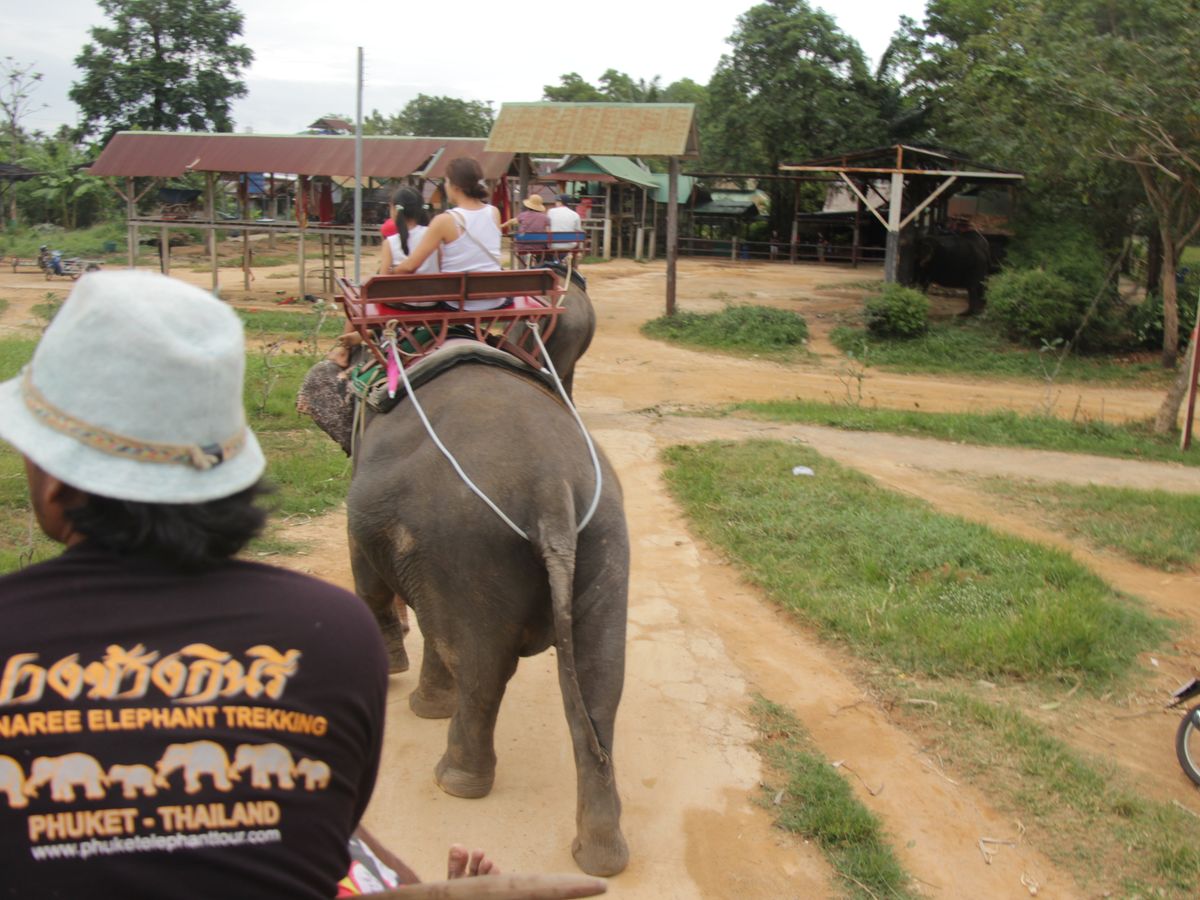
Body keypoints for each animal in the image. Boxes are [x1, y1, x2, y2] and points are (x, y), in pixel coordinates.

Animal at [297, 342, 630, 877]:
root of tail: (552, 488)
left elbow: (368, 580)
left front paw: (399, 678)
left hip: (467, 542)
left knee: (479, 666)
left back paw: (454, 782)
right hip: (604, 537)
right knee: (600, 681)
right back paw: (601, 860)